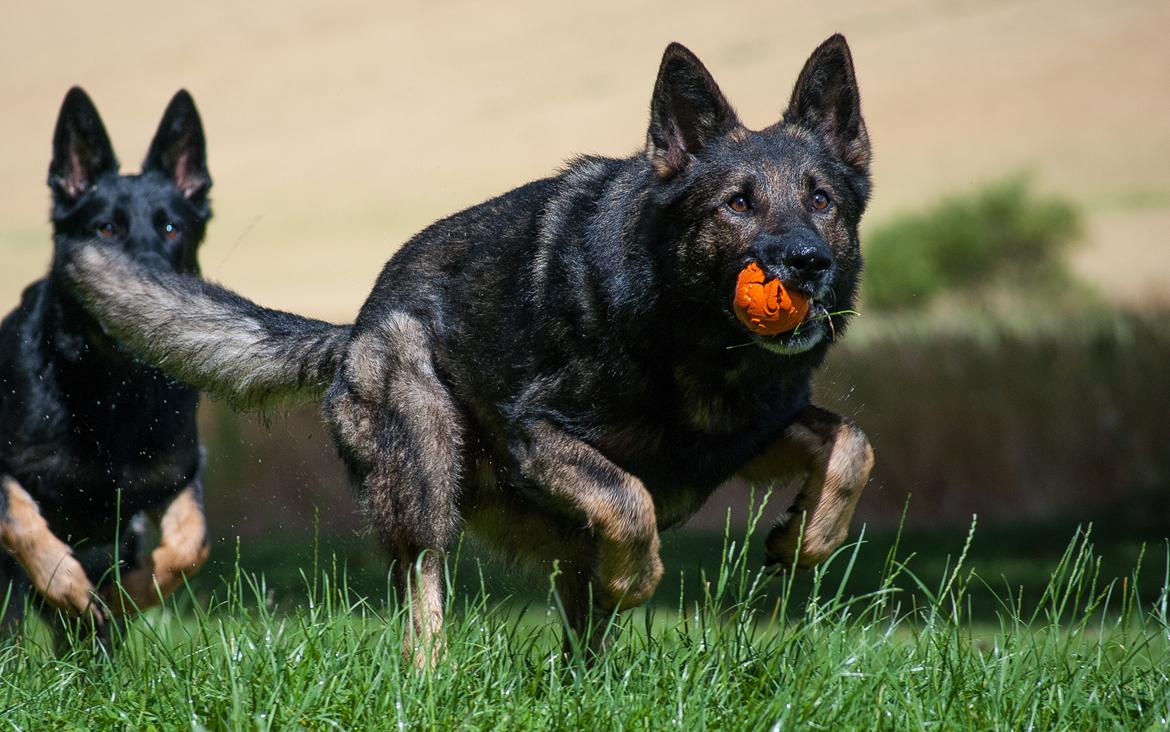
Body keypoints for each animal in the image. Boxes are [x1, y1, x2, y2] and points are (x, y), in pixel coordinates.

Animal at [0, 87, 212, 631]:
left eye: (172, 228)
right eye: (107, 230)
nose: (150, 291)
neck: (113, 394)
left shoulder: (177, 477)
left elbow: (190, 545)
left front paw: (126, 597)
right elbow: (21, 521)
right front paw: (65, 583)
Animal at [59, 35, 875, 659]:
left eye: (821, 200)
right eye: (737, 204)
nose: (807, 263)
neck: (694, 341)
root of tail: (357, 327)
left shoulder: (738, 440)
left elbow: (853, 444)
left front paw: (807, 538)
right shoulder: (539, 433)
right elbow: (629, 501)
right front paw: (638, 575)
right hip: (424, 470)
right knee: (424, 592)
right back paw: (433, 678)